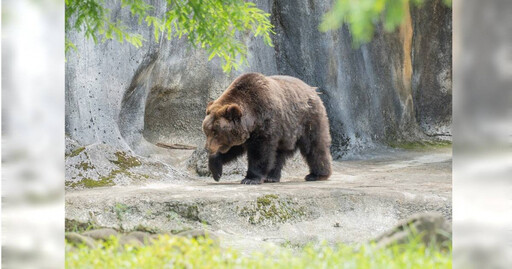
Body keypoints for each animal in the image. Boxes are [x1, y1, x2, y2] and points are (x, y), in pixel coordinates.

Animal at [201, 72, 332, 183]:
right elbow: (233, 149)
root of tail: (312, 90)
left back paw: (317, 174)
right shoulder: (243, 133)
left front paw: (250, 179)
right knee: (279, 153)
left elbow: (260, 151)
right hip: (287, 131)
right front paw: (216, 170)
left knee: (314, 145)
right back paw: (272, 177)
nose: (207, 148)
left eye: (216, 132)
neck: (252, 117)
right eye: (207, 131)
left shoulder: (266, 122)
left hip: (307, 120)